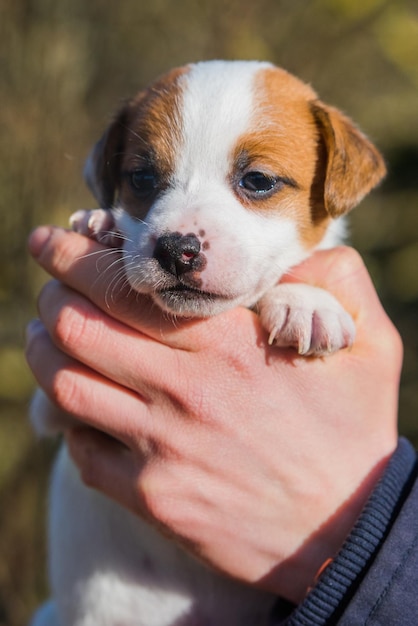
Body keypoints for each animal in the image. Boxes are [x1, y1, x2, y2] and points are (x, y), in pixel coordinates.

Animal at [31, 59, 386, 624]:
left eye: (258, 181)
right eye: (142, 178)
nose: (177, 248)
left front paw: (306, 301)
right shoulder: (52, 403)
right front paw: (99, 222)